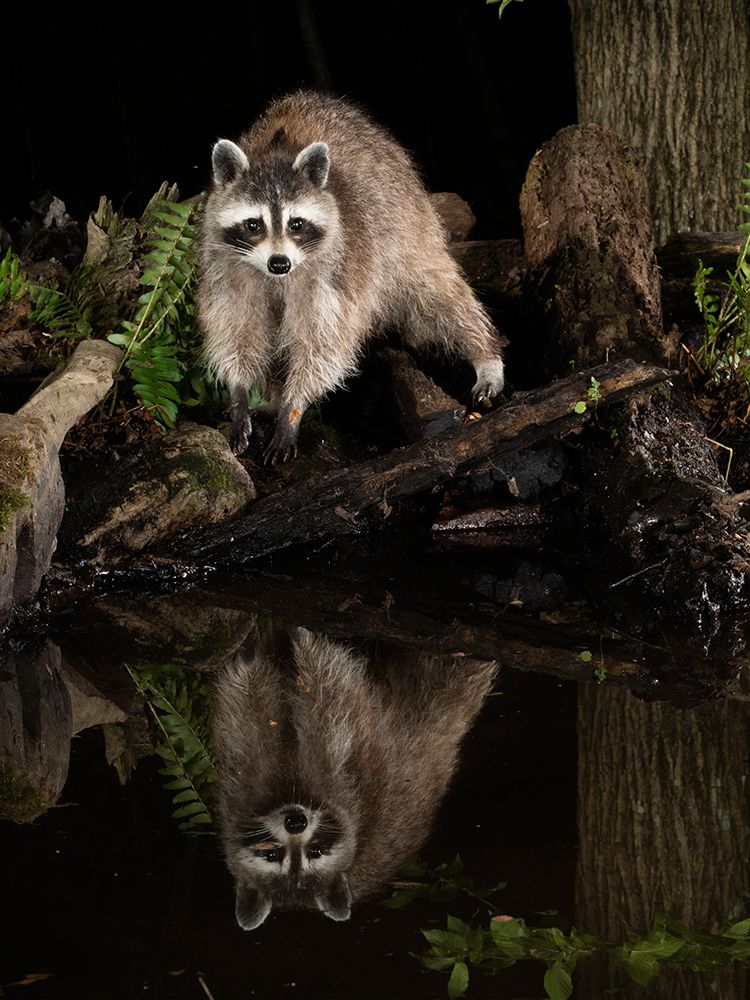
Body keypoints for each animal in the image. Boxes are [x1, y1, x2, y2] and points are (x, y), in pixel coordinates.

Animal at [198, 90, 505, 464]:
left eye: (296, 224)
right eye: (254, 224)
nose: (279, 263)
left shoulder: (338, 271)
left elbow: (323, 343)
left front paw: (292, 408)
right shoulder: (226, 267)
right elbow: (237, 329)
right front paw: (240, 392)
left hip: (405, 222)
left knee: (437, 291)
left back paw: (484, 352)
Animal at [211, 626, 496, 929]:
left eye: (315, 851)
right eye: (272, 854)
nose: (296, 822)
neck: (292, 793)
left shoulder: (333, 781)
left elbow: (319, 698)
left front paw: (295, 646)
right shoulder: (243, 790)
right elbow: (263, 709)